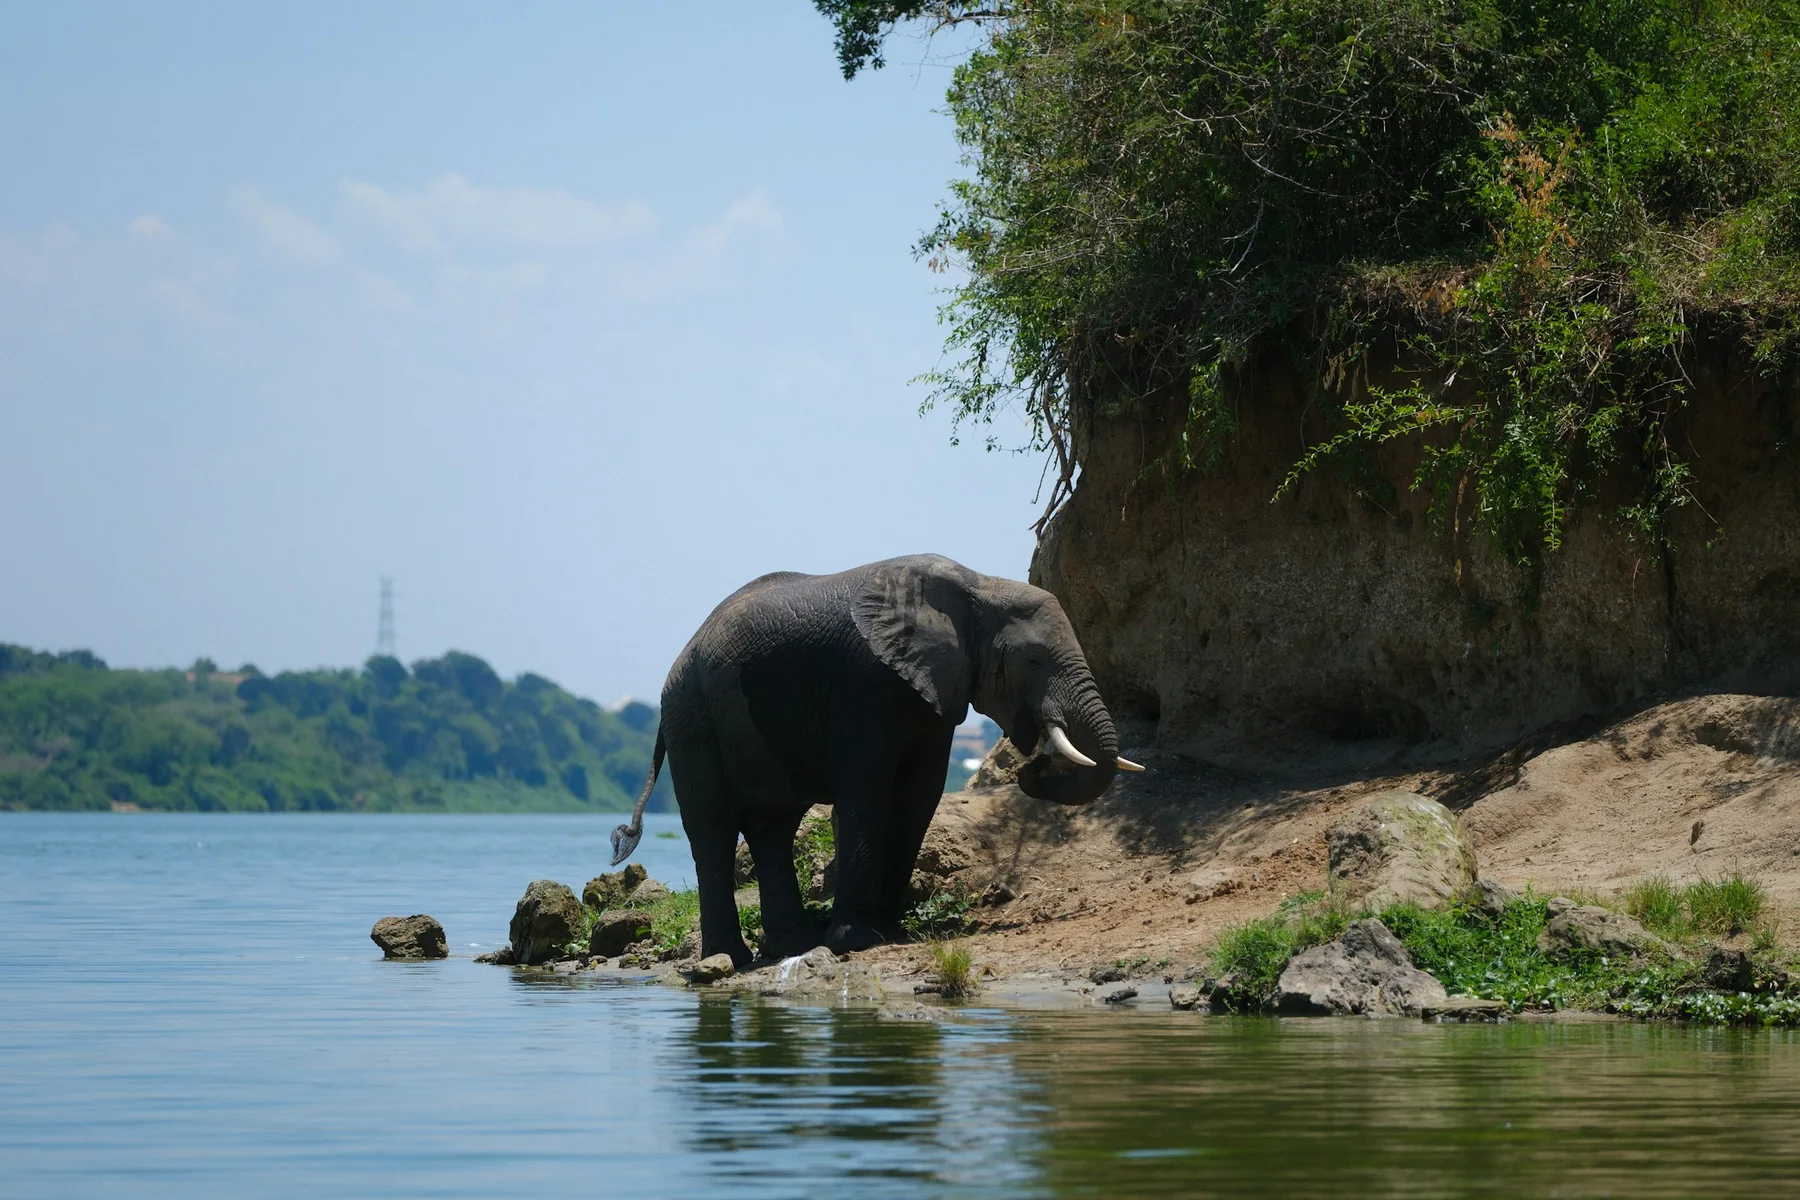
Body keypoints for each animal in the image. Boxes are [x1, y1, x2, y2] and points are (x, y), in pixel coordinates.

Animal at [609, 554, 1142, 965]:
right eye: (1031, 660)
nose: (1032, 765)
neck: (977, 586)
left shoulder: (933, 686)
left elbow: (920, 794)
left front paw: (890, 931)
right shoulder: (865, 681)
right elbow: (866, 789)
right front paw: (858, 942)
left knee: (773, 825)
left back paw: (793, 946)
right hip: (693, 718)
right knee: (714, 828)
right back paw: (729, 958)